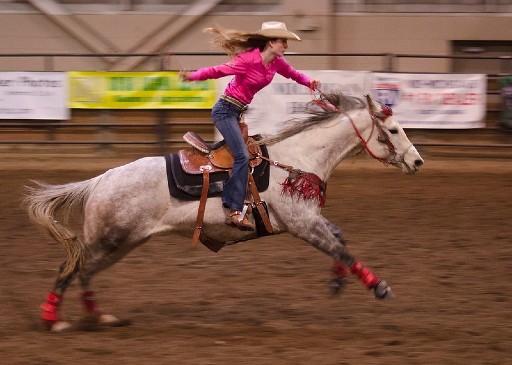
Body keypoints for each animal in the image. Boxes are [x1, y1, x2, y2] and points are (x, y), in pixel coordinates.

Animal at [24, 92, 424, 332]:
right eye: (392, 129)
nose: (418, 161)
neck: (296, 158)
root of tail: (100, 180)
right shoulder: (302, 223)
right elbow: (342, 247)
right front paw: (380, 287)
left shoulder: (310, 218)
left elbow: (341, 240)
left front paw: (338, 281)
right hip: (109, 239)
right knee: (70, 268)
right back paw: (52, 319)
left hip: (122, 242)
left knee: (84, 272)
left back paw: (99, 316)